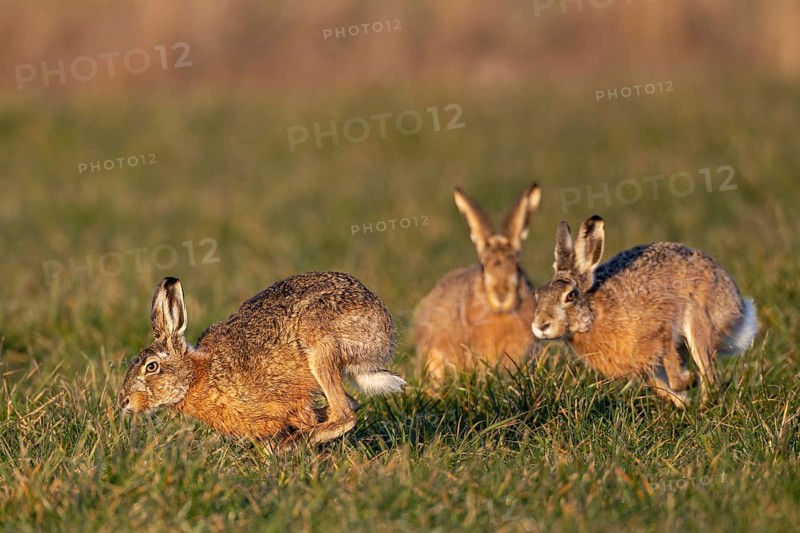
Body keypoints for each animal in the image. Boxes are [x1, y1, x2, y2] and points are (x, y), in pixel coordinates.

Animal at [118, 272, 405, 450]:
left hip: (320, 346)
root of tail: (385, 333)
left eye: (151, 366)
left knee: (345, 413)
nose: (124, 402)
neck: (197, 375)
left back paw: (295, 443)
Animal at [531, 215, 758, 407]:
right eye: (538, 295)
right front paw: (684, 400)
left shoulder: (662, 330)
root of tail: (738, 304)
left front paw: (689, 381)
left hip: (699, 322)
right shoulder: (644, 366)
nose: (541, 325)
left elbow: (674, 374)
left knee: (710, 376)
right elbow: (665, 388)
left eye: (570, 296)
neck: (593, 314)